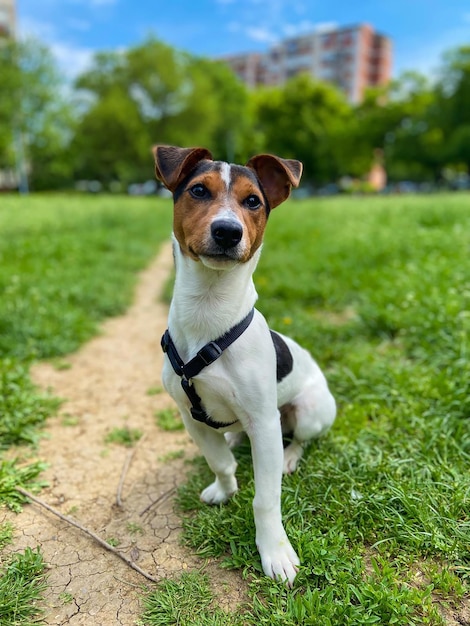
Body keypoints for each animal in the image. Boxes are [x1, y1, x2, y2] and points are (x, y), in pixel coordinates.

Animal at [153, 146, 334, 584]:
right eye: (199, 191)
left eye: (253, 201)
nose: (227, 231)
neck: (209, 310)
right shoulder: (190, 417)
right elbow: (220, 462)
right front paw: (225, 488)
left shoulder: (265, 423)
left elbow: (265, 500)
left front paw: (275, 551)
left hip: (309, 412)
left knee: (300, 438)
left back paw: (289, 457)